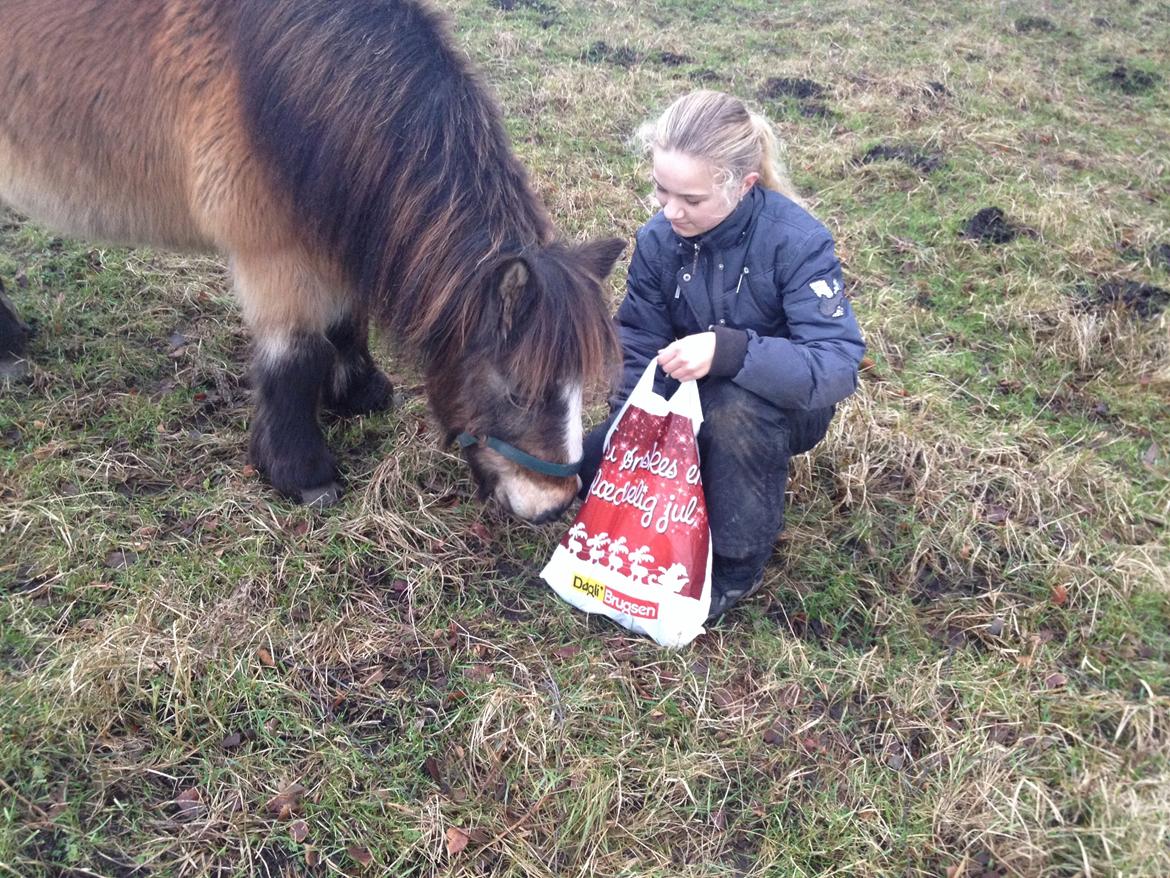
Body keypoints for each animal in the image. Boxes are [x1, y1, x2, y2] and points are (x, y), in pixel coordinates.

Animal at [0, 0, 624, 523]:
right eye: (518, 392)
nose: (553, 505)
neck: (270, 84)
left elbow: (347, 321)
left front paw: (358, 394)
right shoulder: (275, 258)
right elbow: (296, 356)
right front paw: (303, 474)